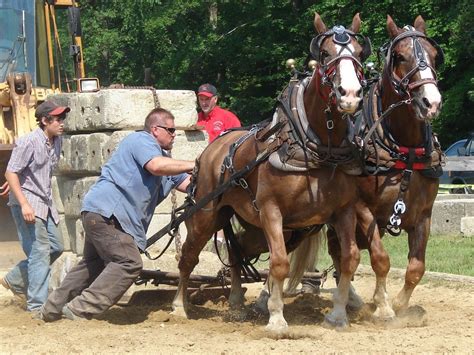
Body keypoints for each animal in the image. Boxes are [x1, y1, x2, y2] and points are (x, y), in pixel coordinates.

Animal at [173, 12, 386, 332]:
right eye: (325, 54)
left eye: (360, 53)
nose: (350, 94)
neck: (316, 149)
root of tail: (212, 149)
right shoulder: (271, 211)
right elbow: (279, 263)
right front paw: (276, 318)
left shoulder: (344, 210)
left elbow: (349, 258)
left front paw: (337, 315)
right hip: (206, 215)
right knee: (188, 256)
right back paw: (178, 306)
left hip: (246, 222)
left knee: (236, 252)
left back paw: (236, 303)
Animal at [324, 14, 442, 318]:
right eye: (400, 56)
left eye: (434, 55)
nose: (431, 102)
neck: (405, 149)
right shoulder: (361, 208)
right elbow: (380, 258)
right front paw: (385, 307)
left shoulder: (424, 214)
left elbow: (416, 267)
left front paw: (399, 305)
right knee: (338, 250)